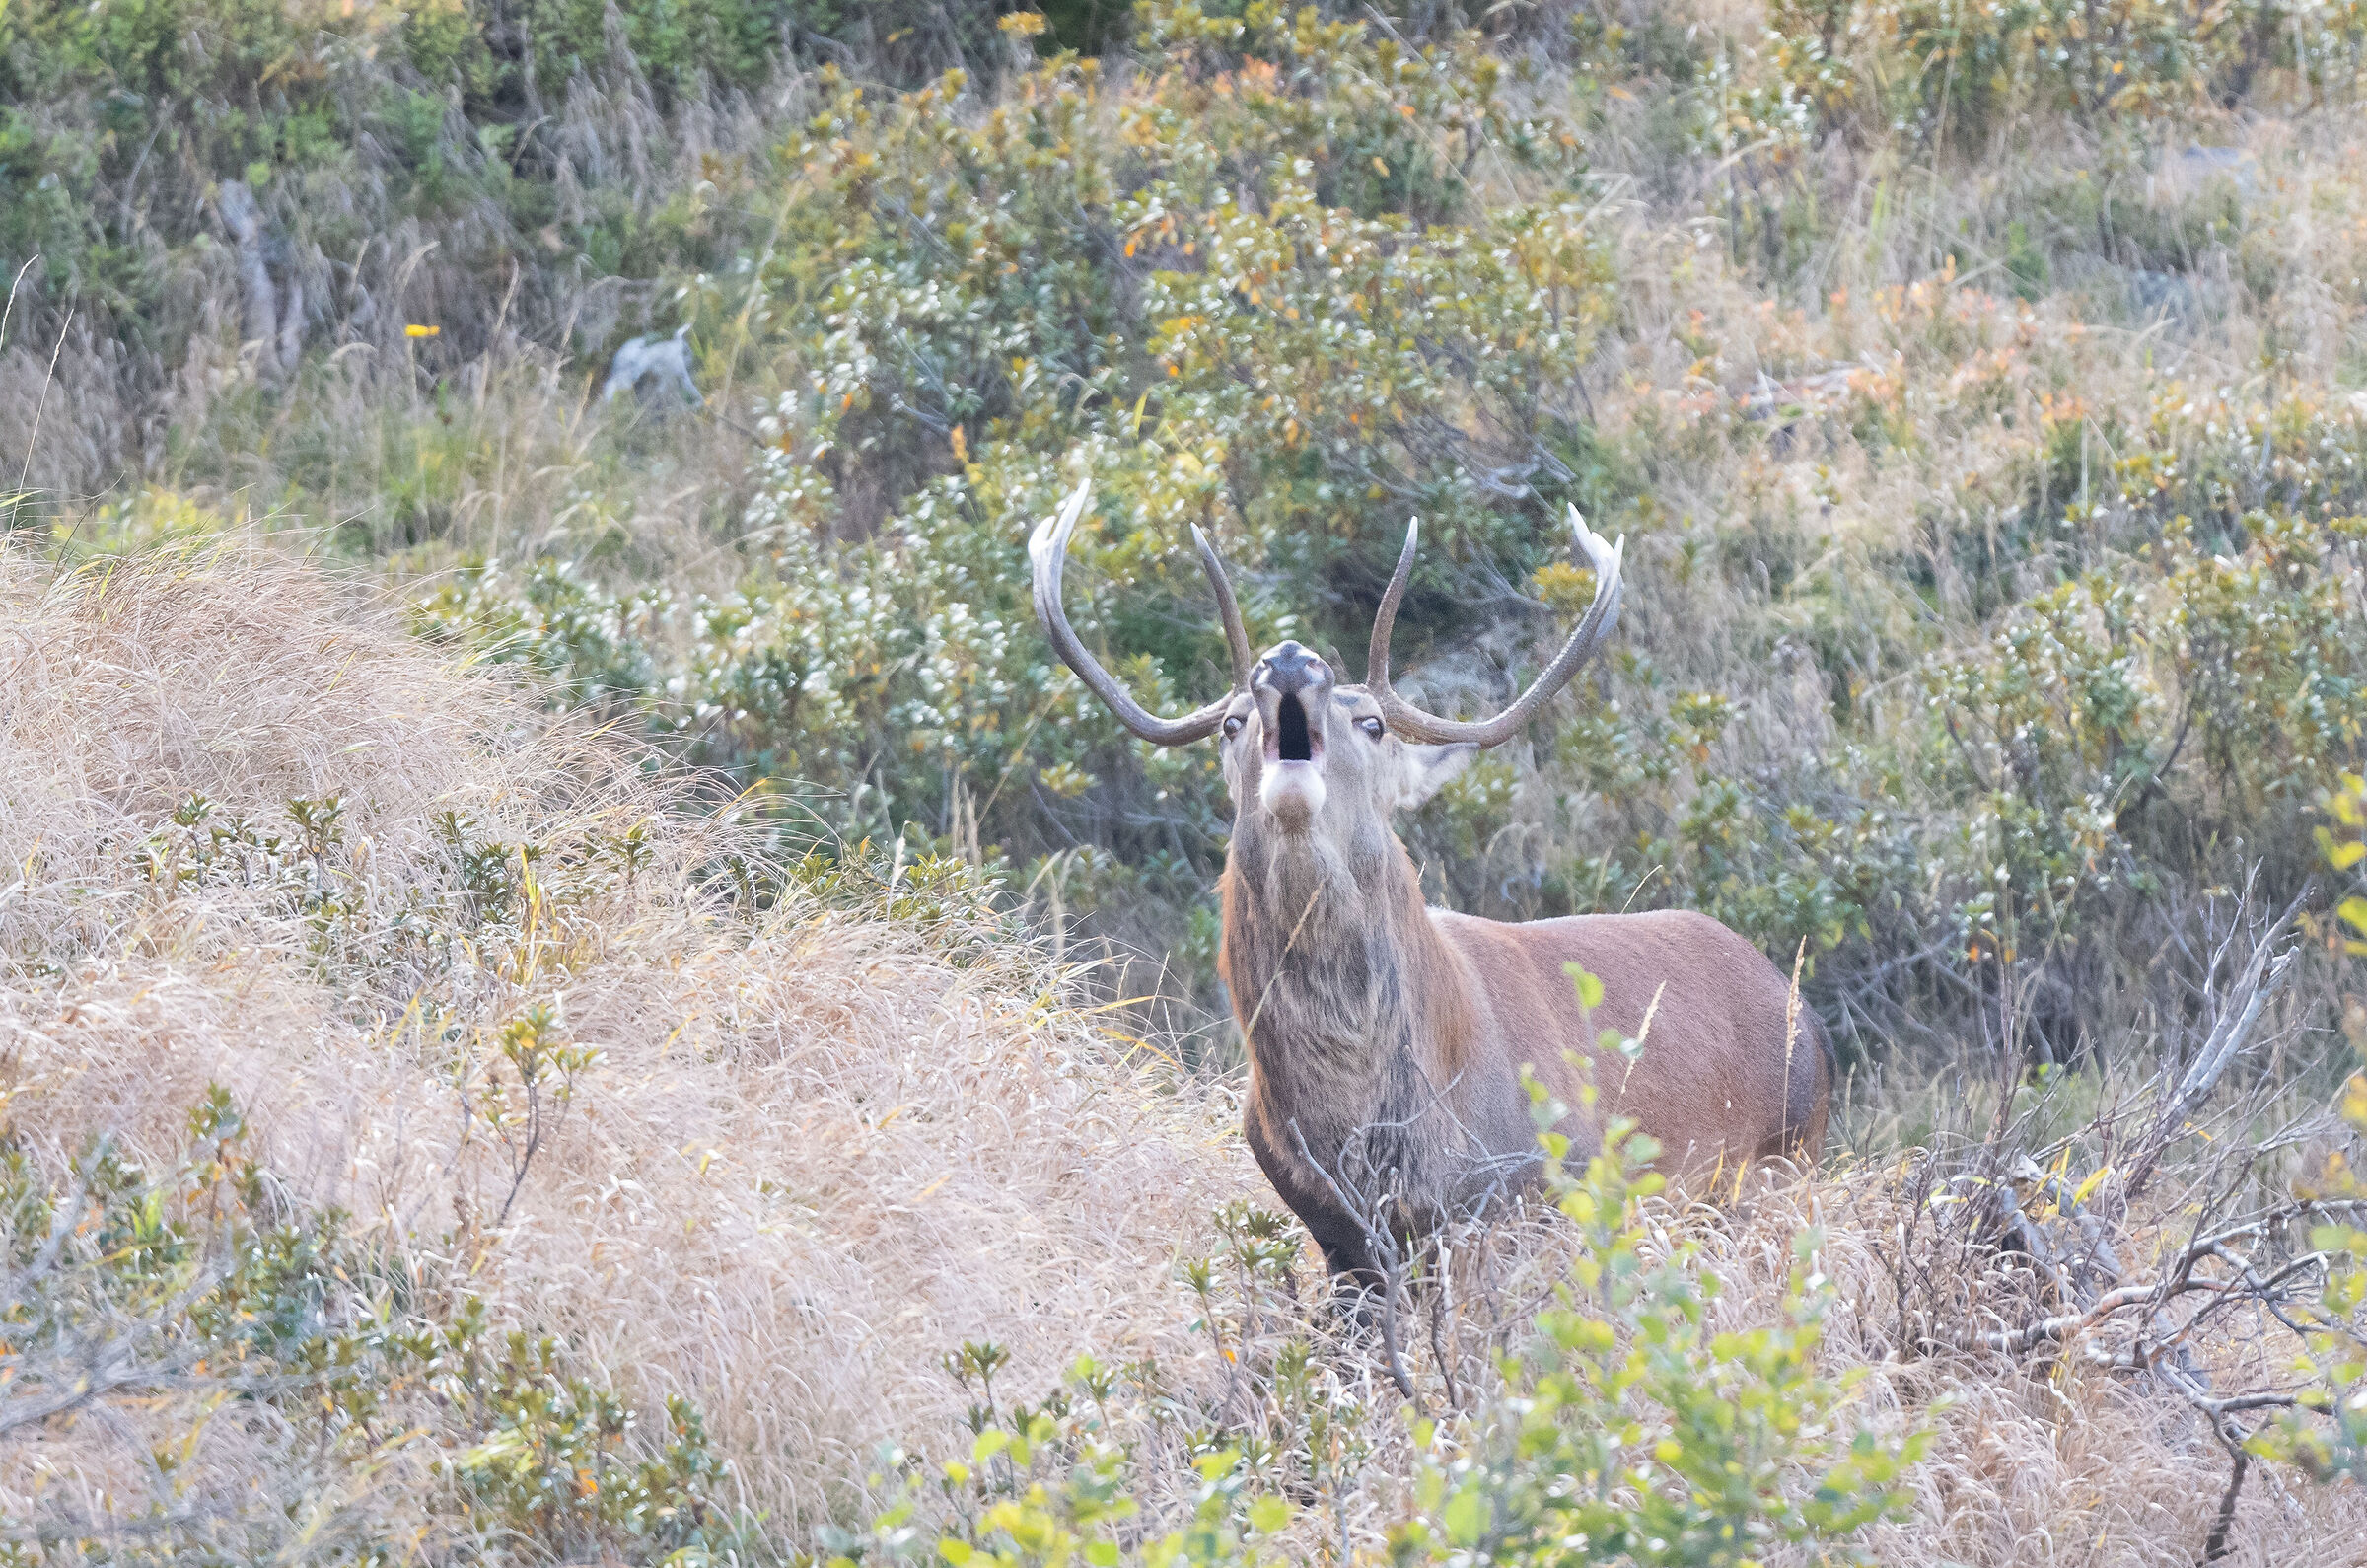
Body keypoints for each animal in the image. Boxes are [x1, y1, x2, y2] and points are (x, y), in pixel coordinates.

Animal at [1029, 480, 1830, 1296]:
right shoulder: (1339, 1238)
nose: (1288, 659)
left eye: (1373, 723)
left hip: (1781, 1169)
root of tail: (1799, 1005)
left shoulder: (1537, 1200)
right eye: (1229, 723)